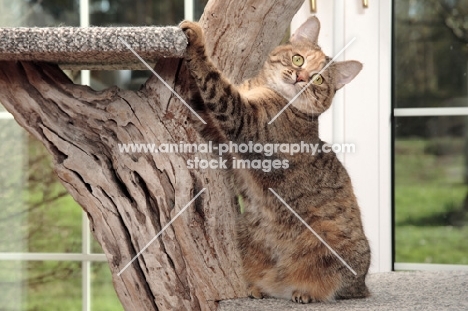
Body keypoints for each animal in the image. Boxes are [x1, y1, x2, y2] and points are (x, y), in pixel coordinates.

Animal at [181, 17, 372, 304]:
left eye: (318, 79)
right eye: (297, 59)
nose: (300, 77)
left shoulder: (246, 122)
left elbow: (216, 84)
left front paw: (197, 39)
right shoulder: (223, 127)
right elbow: (206, 101)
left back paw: (305, 293)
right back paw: (258, 287)